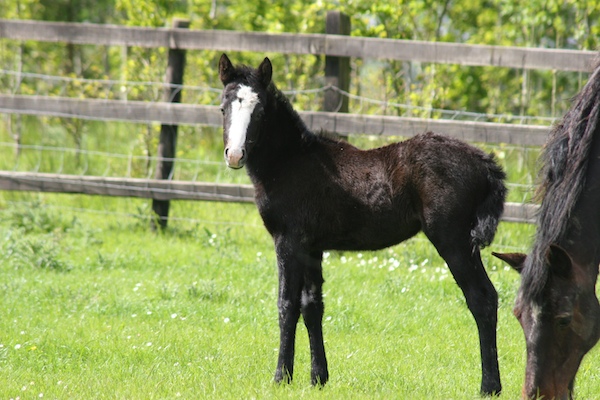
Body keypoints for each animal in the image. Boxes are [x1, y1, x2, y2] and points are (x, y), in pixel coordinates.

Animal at [218, 54, 508, 396]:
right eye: (223, 107)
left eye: (260, 110)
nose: (235, 155)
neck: (290, 162)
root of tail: (485, 163)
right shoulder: (312, 247)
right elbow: (312, 306)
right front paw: (318, 378)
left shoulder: (288, 241)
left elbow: (286, 305)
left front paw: (281, 377)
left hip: (454, 240)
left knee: (481, 298)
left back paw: (489, 386)